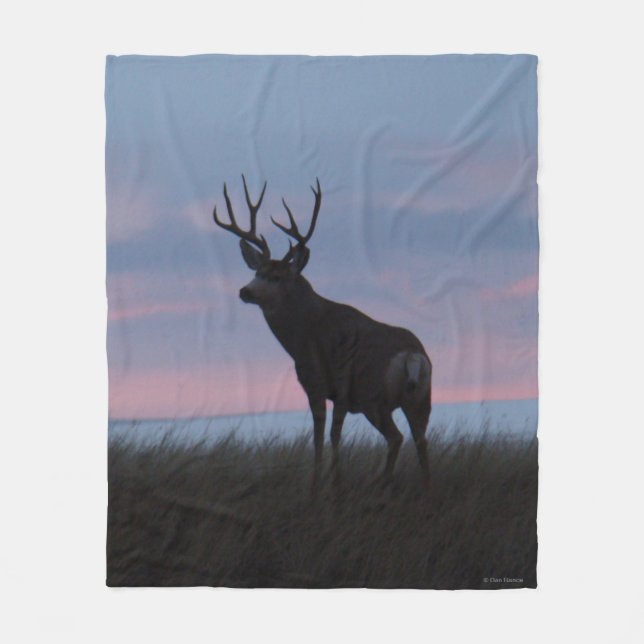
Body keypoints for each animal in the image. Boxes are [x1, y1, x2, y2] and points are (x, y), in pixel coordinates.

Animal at [213, 176, 432, 493]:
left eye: (276, 277)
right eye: (256, 272)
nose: (245, 291)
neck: (306, 335)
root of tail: (411, 355)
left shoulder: (326, 384)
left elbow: (324, 437)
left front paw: (324, 486)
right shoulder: (328, 390)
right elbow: (324, 436)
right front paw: (328, 483)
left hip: (373, 397)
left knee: (396, 437)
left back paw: (381, 482)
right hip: (420, 397)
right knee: (418, 440)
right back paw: (416, 486)